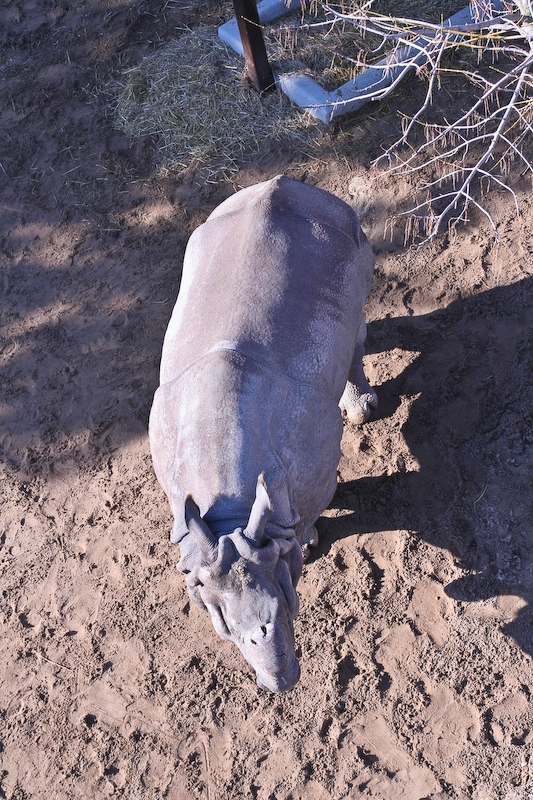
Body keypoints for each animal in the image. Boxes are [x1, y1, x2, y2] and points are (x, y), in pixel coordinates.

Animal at [149, 175, 376, 692]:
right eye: (223, 625)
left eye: (287, 607)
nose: (278, 680)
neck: (229, 516)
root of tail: (304, 187)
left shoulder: (317, 466)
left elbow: (309, 511)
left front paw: (307, 543)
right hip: (213, 232)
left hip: (347, 232)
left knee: (356, 321)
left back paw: (363, 410)